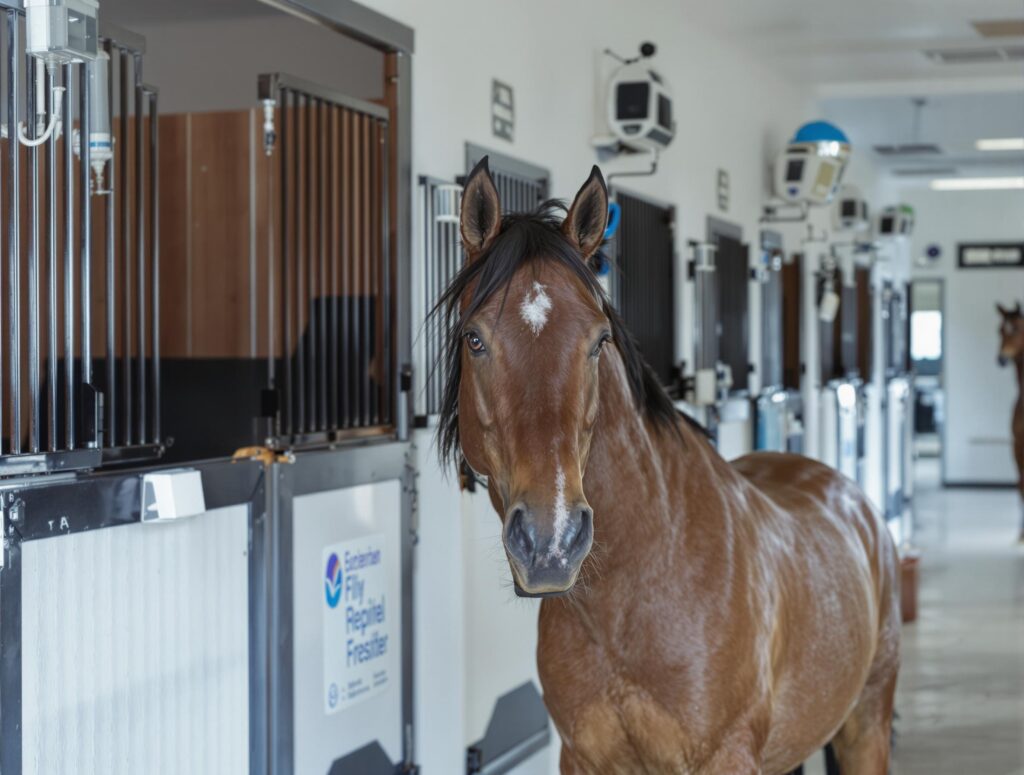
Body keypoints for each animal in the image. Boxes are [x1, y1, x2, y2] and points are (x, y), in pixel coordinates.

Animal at [436, 157, 900, 774]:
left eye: (598, 340)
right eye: (474, 339)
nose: (550, 541)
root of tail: (850, 497)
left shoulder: (727, 756)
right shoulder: (581, 758)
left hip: (865, 725)